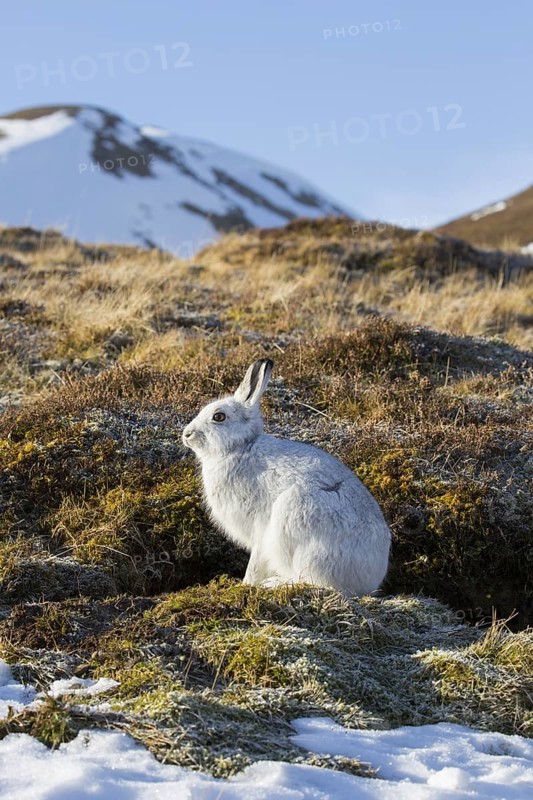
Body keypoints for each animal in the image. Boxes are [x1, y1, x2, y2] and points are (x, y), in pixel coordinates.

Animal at [182, 359, 391, 595]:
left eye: (219, 416)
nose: (186, 434)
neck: (241, 447)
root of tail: (370, 581)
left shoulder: (260, 527)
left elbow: (256, 561)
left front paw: (246, 584)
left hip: (294, 519)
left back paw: (274, 584)